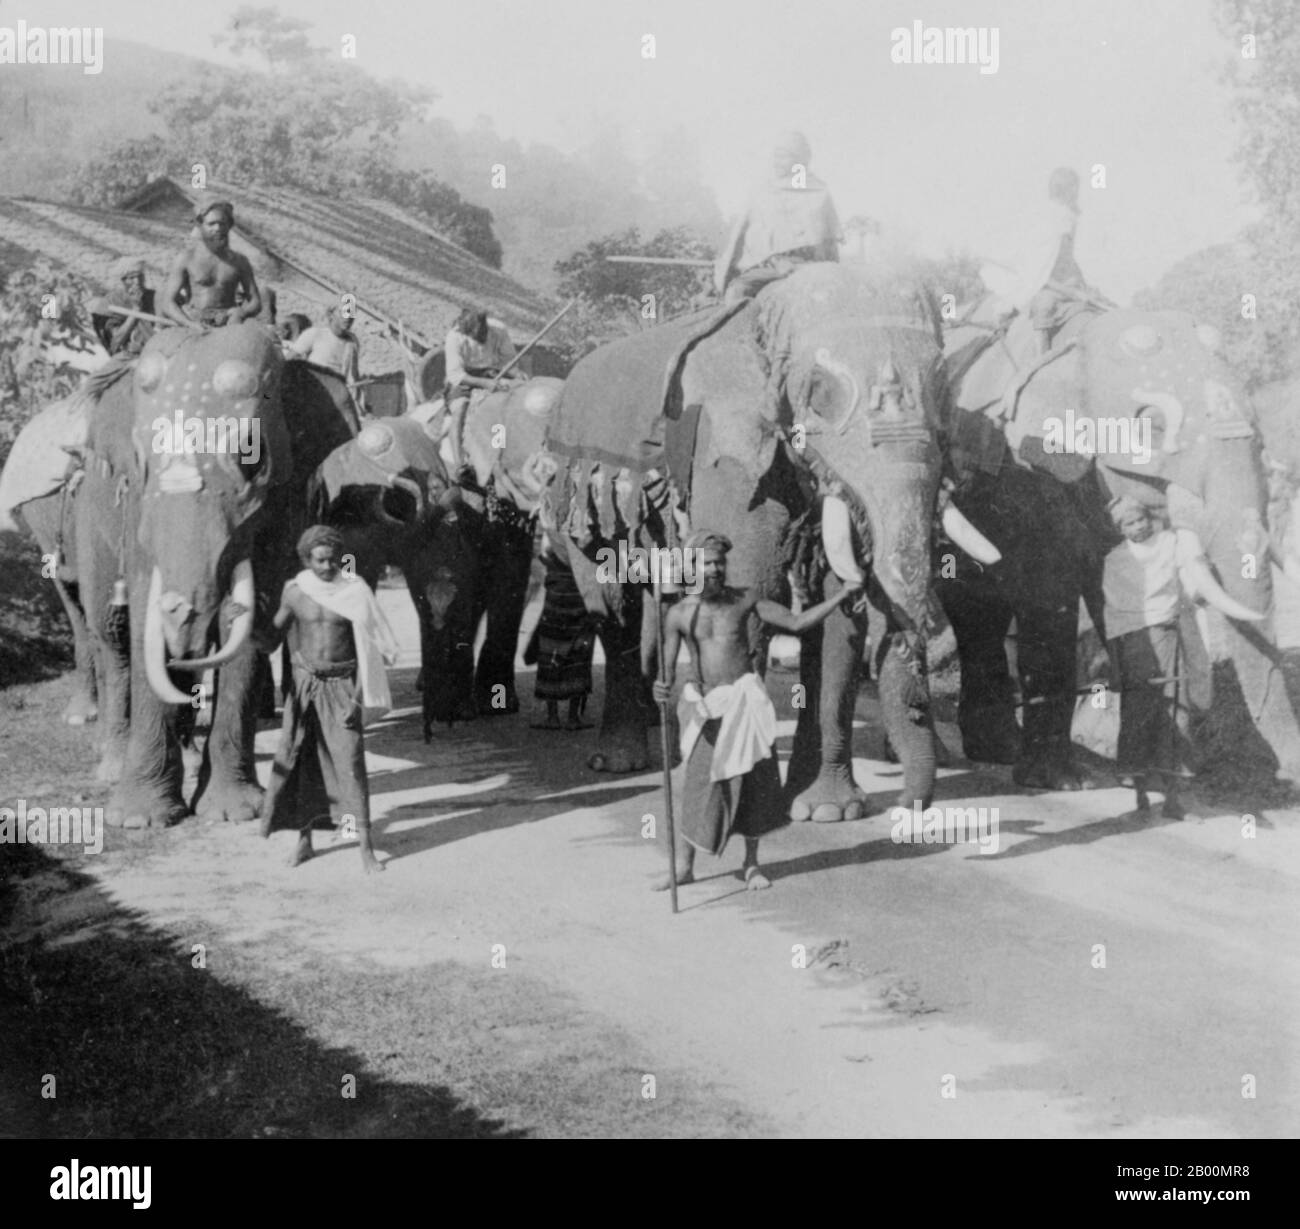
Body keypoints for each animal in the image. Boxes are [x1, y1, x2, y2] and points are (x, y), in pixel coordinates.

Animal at [66, 326, 358, 827]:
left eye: (252, 460)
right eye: (142, 462)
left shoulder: (284, 506)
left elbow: (247, 619)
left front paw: (231, 813)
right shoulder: (139, 515)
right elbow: (145, 617)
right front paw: (139, 819)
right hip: (90, 521)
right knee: (114, 633)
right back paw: (112, 766)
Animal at [538, 264, 1003, 821]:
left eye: (942, 385)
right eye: (820, 393)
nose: (907, 806)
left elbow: (834, 626)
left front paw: (826, 812)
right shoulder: (727, 448)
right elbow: (752, 589)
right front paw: (750, 804)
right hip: (579, 502)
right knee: (613, 605)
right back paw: (621, 762)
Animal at [941, 303, 1300, 790]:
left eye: (1260, 433)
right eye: (1154, 426)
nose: (1282, 772)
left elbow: (1114, 594)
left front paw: (1159, 771)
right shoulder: (1029, 470)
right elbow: (1049, 592)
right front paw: (1062, 781)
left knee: (981, 611)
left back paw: (998, 749)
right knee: (970, 605)